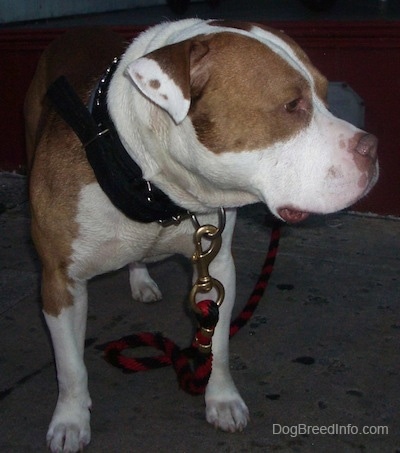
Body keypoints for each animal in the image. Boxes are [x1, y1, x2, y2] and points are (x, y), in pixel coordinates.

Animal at [24, 19, 378, 452]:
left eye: (326, 95)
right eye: (292, 105)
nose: (373, 148)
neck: (150, 186)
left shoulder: (217, 269)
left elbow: (219, 345)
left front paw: (222, 399)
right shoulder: (60, 281)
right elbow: (70, 366)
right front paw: (71, 420)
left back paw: (141, 279)